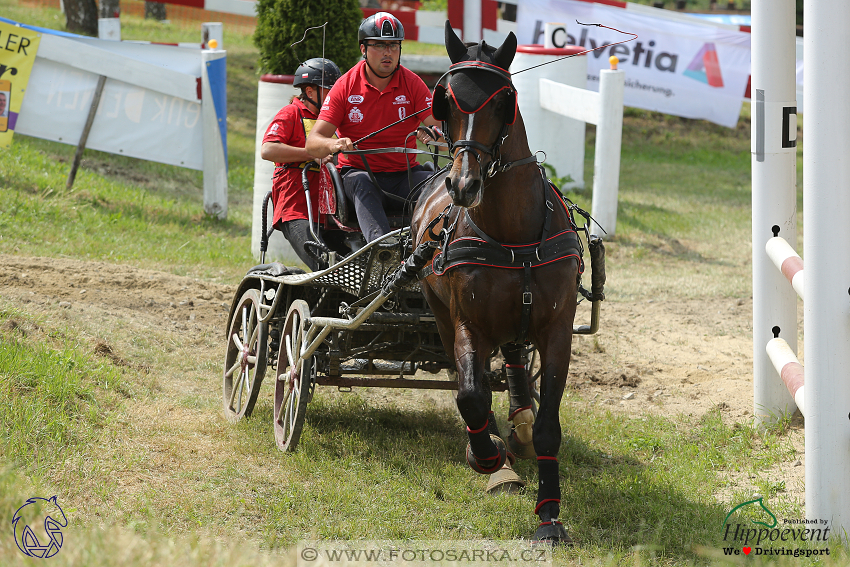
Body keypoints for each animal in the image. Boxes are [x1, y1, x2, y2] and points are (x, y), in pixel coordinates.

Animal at [410, 23, 584, 544]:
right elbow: (470, 395)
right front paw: (486, 456)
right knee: (470, 381)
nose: (463, 185)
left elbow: (548, 426)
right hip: (442, 314)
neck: (514, 233)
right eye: (444, 100)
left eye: (503, 100)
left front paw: (550, 514)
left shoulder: (557, 330)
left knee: (513, 360)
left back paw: (519, 422)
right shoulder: (470, 324)